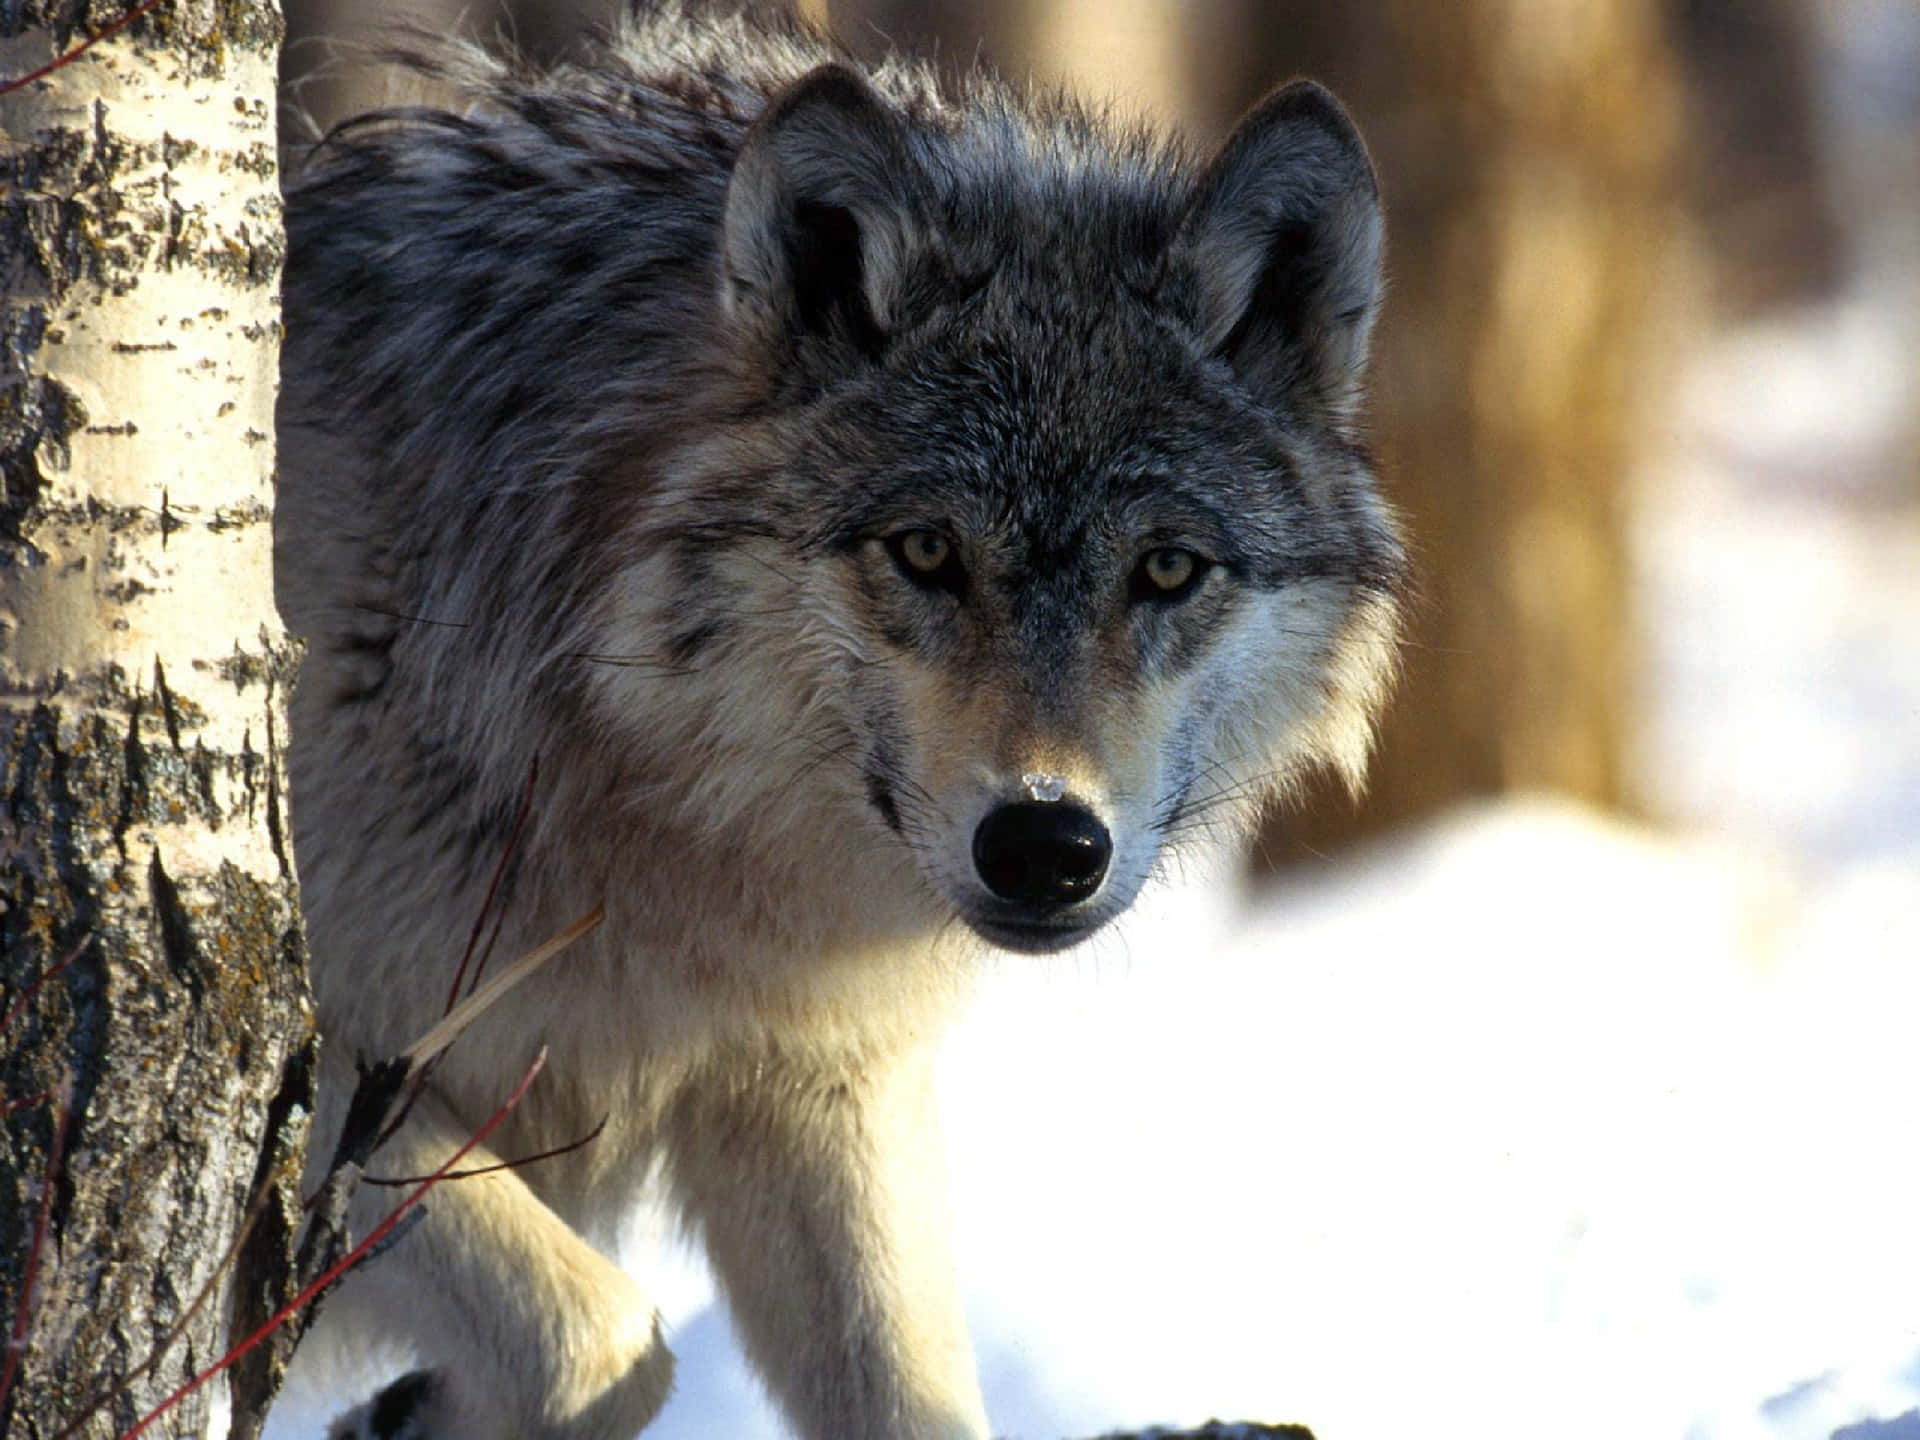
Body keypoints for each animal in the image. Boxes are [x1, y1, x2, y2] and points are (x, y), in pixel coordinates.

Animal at [274, 5, 1413, 1436]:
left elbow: (905, 1397)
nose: (1045, 846)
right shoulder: (328, 1062)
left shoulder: (820, 1089)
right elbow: (601, 1340)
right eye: (926, 551)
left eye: (1164, 570)